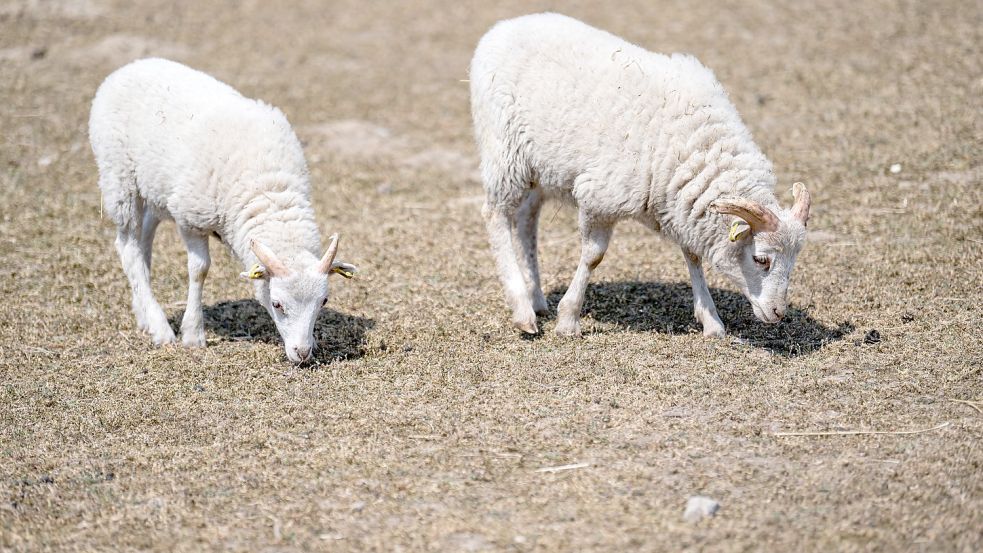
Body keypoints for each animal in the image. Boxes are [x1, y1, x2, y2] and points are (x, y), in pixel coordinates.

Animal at [88, 57, 356, 362]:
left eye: (324, 301)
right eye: (276, 304)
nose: (302, 353)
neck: (269, 191)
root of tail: (131, 66)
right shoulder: (190, 218)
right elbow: (199, 270)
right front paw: (193, 334)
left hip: (154, 191)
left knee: (142, 244)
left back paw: (144, 315)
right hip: (119, 178)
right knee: (128, 249)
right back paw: (160, 327)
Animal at [472, 14, 812, 336]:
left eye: (794, 260)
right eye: (761, 259)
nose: (778, 313)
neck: (696, 145)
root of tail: (504, 27)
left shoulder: (682, 204)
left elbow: (692, 256)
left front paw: (711, 320)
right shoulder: (601, 197)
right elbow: (593, 256)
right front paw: (568, 319)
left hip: (538, 167)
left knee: (526, 220)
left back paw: (536, 299)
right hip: (504, 149)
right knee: (495, 214)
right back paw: (522, 310)